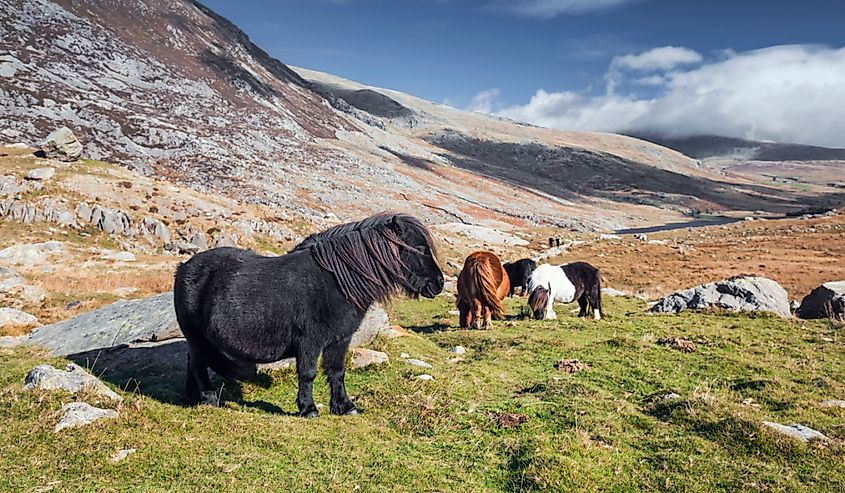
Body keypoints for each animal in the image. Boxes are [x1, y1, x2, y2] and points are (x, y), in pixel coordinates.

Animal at [174, 213, 446, 418]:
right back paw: (209, 398)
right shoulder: (309, 342)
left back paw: (190, 397)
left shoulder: (340, 340)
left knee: (192, 362)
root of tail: (184, 267)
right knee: (197, 363)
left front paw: (344, 407)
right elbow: (308, 373)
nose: (439, 283)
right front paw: (308, 409)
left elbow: (337, 371)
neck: (336, 282)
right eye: (419, 248)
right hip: (197, 338)